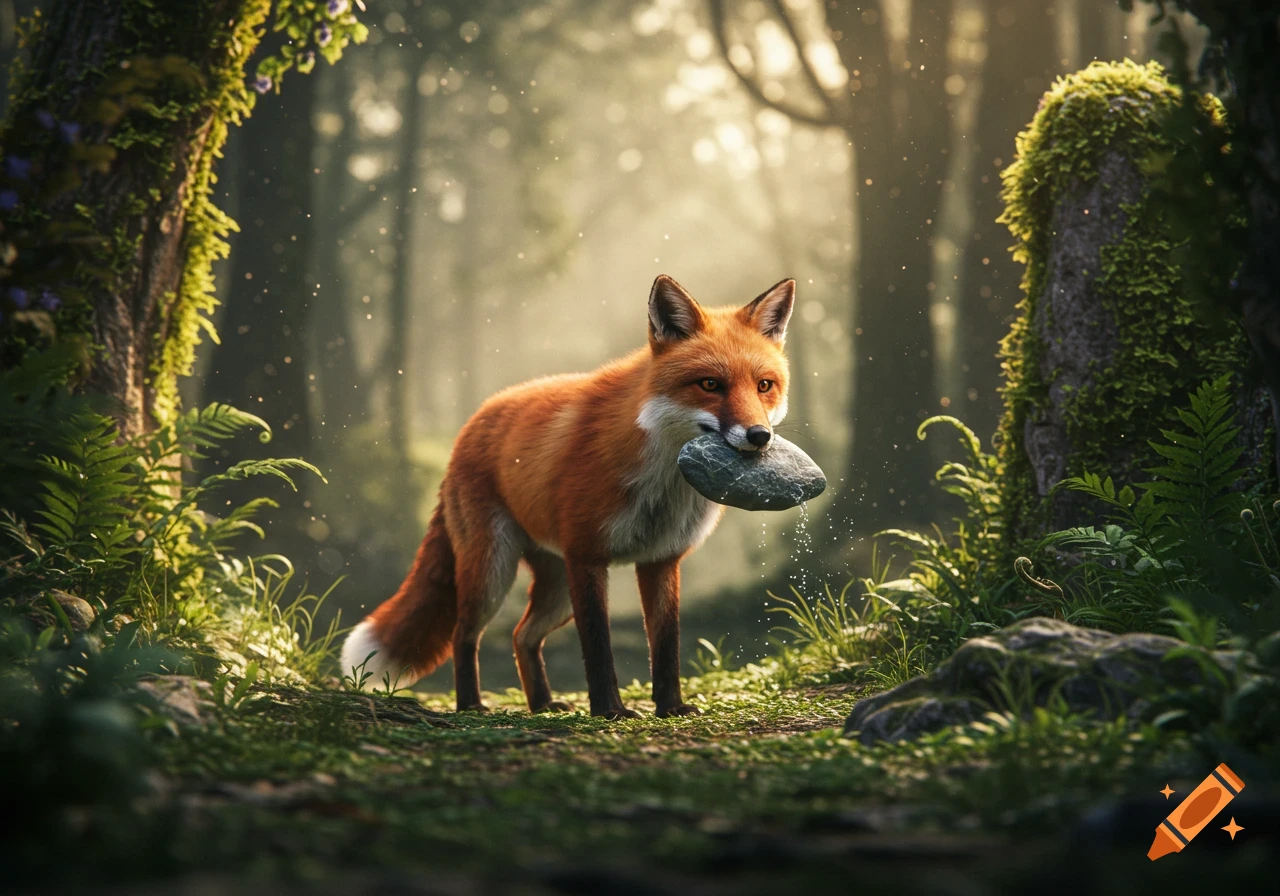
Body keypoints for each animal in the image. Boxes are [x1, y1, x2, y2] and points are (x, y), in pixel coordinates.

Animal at [340, 274, 795, 719]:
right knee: (463, 634)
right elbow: (597, 644)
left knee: (522, 636)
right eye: (710, 384)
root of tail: (471, 424)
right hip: (494, 572)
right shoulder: (586, 556)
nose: (759, 436)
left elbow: (667, 645)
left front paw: (670, 707)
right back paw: (471, 705)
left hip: (555, 590)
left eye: (764, 386)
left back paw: (541, 703)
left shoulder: (661, 560)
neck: (662, 482)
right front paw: (609, 710)